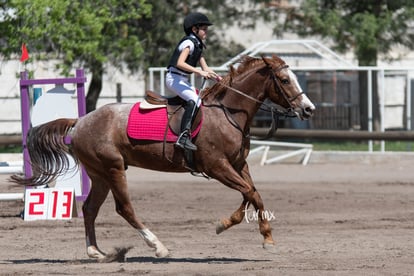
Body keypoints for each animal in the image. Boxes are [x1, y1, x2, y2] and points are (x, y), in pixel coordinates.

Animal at [10, 55, 314, 262]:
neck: (228, 112)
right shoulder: (217, 167)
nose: (308, 109)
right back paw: (158, 246)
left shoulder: (239, 165)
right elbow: (250, 192)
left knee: (90, 209)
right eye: (285, 80)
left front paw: (248, 230)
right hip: (114, 169)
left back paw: (96, 252)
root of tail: (80, 121)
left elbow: (252, 193)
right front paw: (248, 231)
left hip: (99, 174)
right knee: (124, 209)